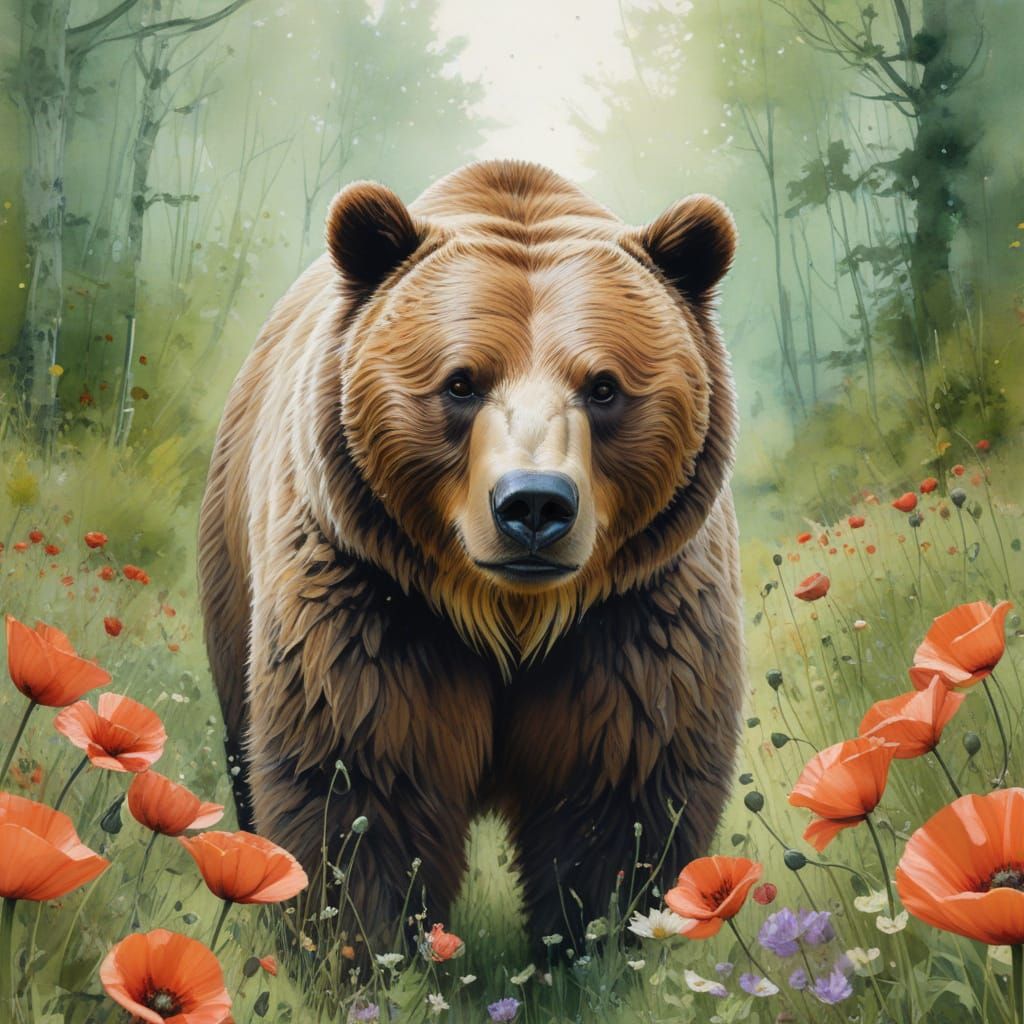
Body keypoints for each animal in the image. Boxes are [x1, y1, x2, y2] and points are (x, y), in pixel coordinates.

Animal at [198, 159, 743, 949]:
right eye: (460, 381)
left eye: (604, 386)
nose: (534, 505)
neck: (511, 617)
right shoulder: (371, 601)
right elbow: (357, 783)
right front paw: (364, 949)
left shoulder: (637, 616)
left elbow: (622, 794)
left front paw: (593, 948)